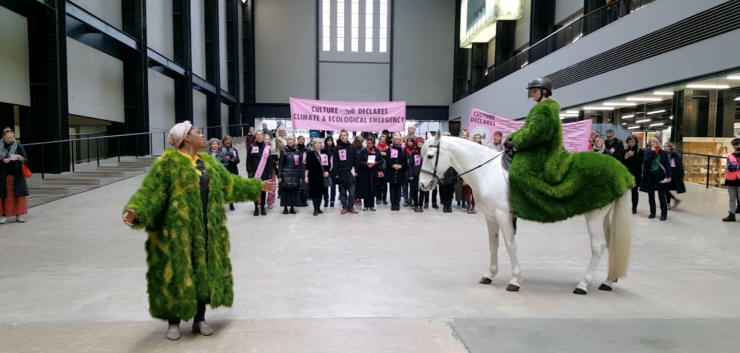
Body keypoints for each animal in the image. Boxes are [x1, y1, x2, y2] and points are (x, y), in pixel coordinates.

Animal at [420, 132, 632, 294]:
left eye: (430, 156)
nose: (422, 185)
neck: (488, 171)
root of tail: (621, 172)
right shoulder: (490, 216)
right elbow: (493, 244)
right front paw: (490, 275)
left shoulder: (503, 215)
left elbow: (510, 245)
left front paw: (515, 280)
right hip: (604, 216)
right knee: (612, 243)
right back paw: (608, 281)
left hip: (594, 216)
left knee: (598, 246)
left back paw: (583, 284)